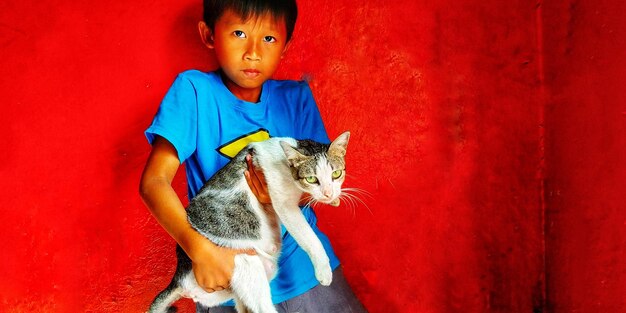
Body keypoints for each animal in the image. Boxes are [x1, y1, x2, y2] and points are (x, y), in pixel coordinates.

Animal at [147, 130, 352, 312]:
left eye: (336, 174)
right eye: (311, 178)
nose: (328, 193)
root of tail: (178, 276)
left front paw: (335, 197)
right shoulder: (284, 204)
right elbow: (309, 238)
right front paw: (324, 270)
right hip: (244, 262)